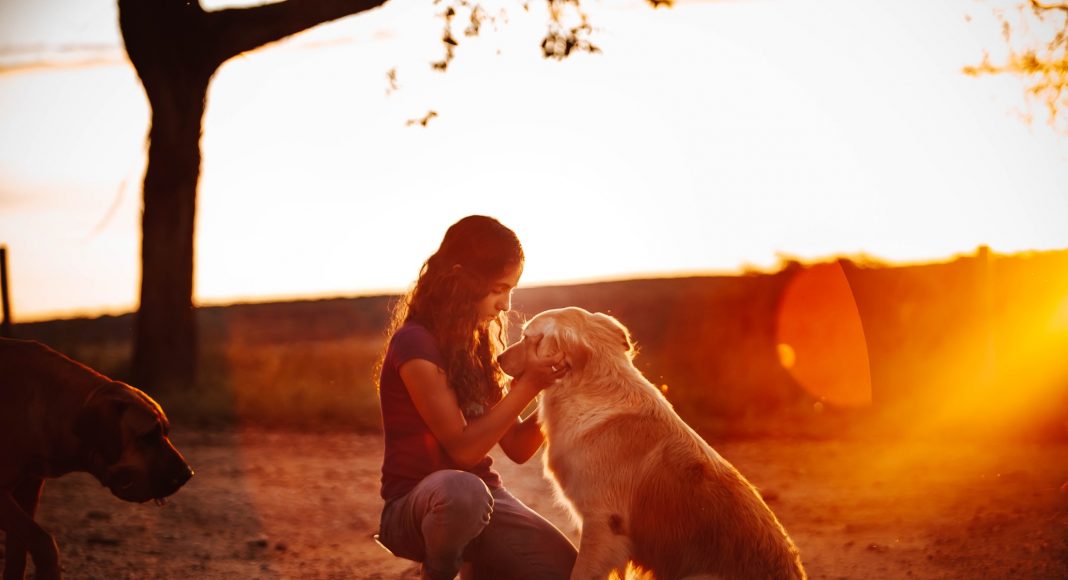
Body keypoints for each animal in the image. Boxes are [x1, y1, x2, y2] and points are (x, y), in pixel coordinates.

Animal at [0, 337, 194, 576]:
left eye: (166, 432)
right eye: (148, 436)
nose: (187, 474)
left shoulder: (27, 491)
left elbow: (18, 553)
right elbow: (43, 542)